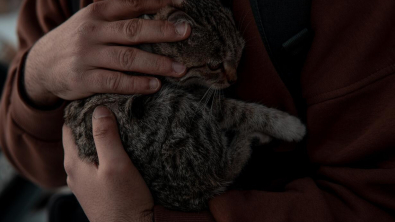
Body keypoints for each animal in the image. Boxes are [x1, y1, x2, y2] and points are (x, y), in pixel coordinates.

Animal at [64, 0, 306, 212]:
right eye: (214, 65)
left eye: (240, 53)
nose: (233, 79)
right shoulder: (203, 101)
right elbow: (244, 112)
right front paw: (290, 126)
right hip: (179, 111)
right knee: (224, 168)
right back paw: (250, 138)